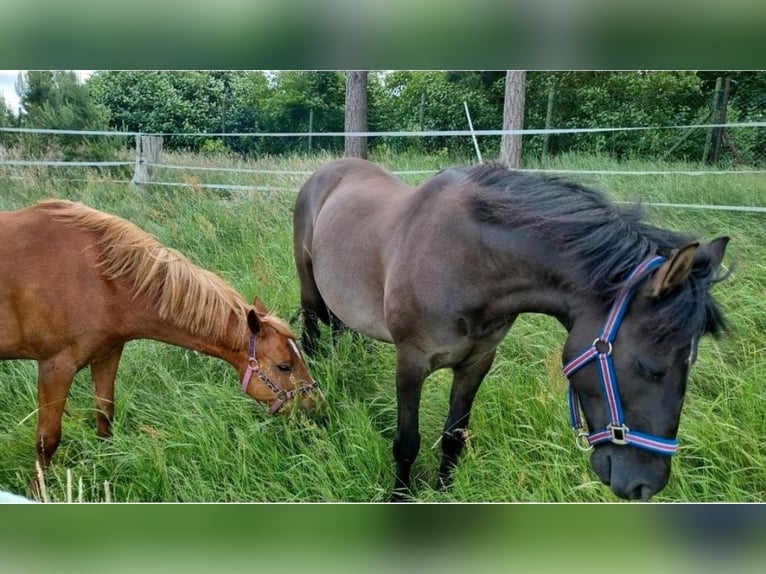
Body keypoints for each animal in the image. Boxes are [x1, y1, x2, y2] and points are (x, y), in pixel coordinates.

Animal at [0, 199, 318, 482]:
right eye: (284, 366)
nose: (318, 409)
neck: (98, 278)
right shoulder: (55, 367)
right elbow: (47, 439)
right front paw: (38, 490)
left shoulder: (107, 354)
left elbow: (104, 413)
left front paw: (107, 464)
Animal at [293, 158, 730, 501]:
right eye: (650, 368)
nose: (645, 485)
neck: (464, 260)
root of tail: (327, 171)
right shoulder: (411, 363)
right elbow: (406, 444)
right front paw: (399, 497)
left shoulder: (477, 362)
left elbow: (454, 436)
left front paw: (443, 490)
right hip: (310, 291)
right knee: (311, 337)